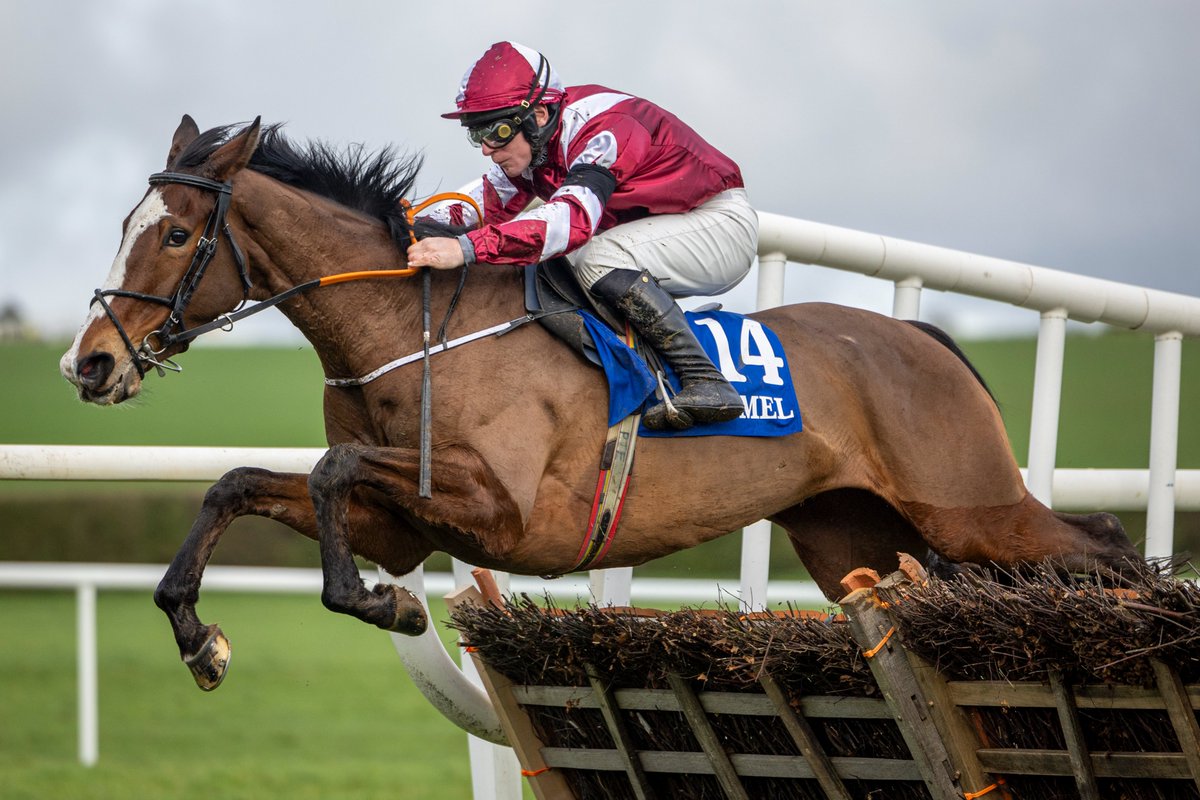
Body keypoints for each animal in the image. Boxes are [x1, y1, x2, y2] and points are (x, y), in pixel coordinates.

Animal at [60, 115, 1140, 690]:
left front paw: (378, 602)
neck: (409, 327)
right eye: (125, 223)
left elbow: (332, 468)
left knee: (1103, 545)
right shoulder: (405, 518)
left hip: (971, 505)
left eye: (172, 235)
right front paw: (201, 636)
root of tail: (922, 340)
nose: (89, 364)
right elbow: (241, 481)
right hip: (853, 537)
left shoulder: (507, 508)